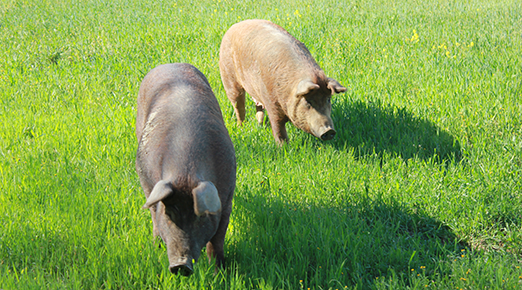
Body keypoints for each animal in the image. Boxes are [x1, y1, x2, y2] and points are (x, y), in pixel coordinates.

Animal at [136, 62, 238, 276]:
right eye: (169, 213)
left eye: (198, 217)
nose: (181, 265)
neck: (186, 172)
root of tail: (169, 64)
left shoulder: (227, 200)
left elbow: (217, 241)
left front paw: (218, 274)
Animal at [218, 18, 346, 143]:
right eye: (308, 102)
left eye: (328, 99)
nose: (329, 130)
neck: (289, 92)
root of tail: (234, 26)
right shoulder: (271, 101)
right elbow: (278, 128)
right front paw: (283, 146)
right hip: (229, 79)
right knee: (238, 106)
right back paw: (241, 127)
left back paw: (260, 125)